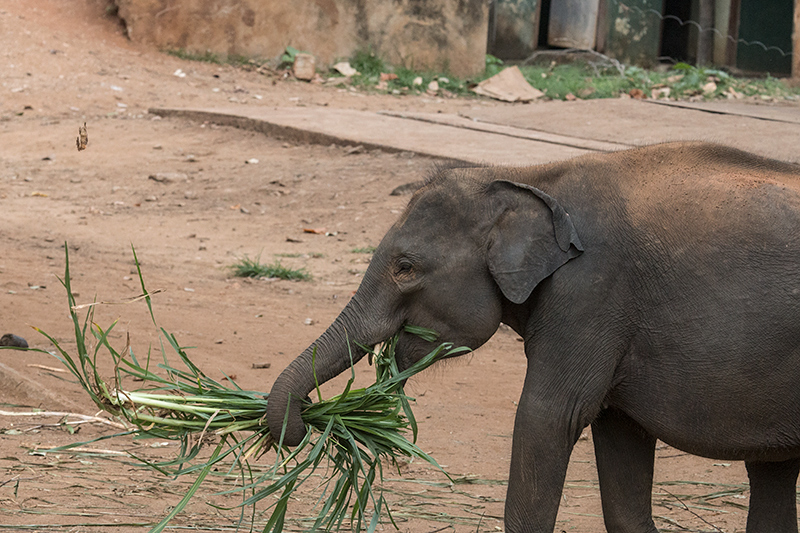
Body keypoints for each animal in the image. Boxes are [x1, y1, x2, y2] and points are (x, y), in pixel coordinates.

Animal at [268, 142, 800, 532]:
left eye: (405, 267)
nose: (301, 423)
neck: (528, 176)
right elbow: (619, 438)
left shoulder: (592, 293)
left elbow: (547, 419)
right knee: (772, 470)